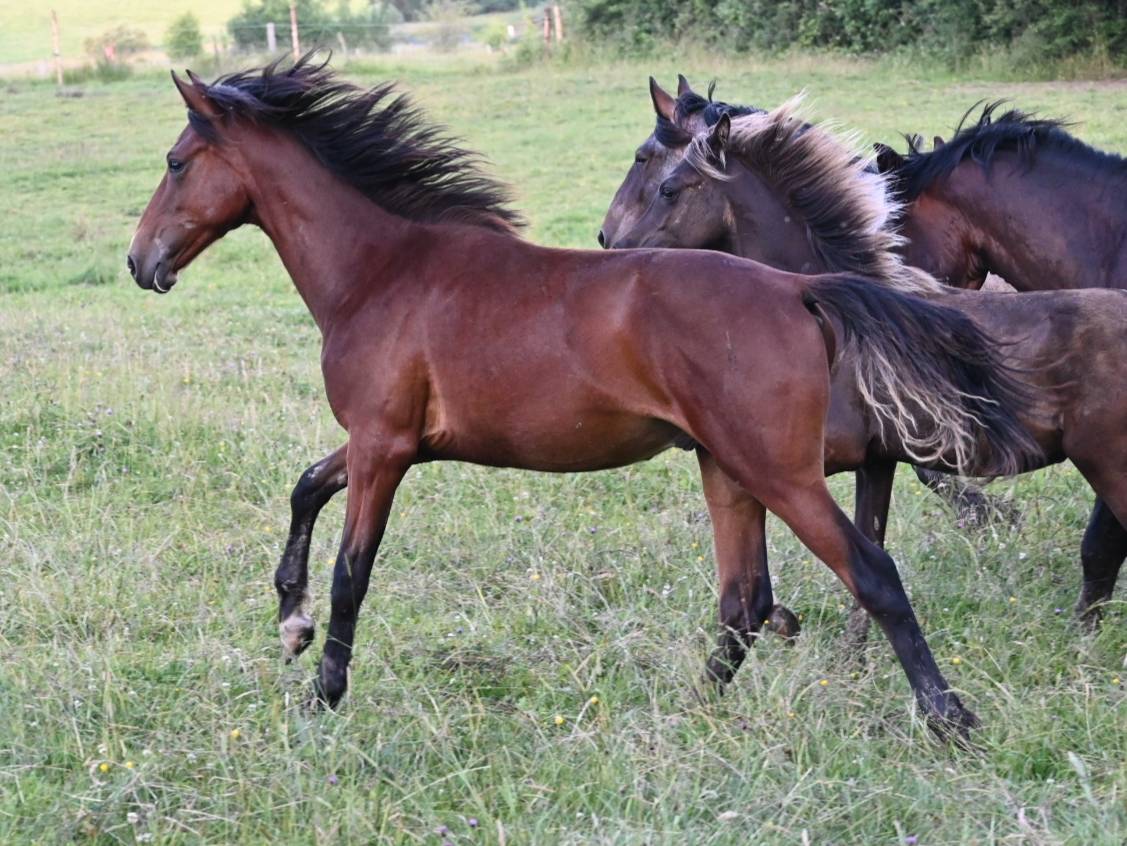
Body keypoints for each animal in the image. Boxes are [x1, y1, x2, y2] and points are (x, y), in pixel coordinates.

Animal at [127, 57, 1040, 736]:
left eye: (174, 163)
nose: (141, 263)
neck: (382, 272)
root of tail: (800, 288)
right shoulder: (383, 440)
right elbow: (306, 486)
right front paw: (291, 618)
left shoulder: (384, 447)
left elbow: (354, 569)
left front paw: (323, 693)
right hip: (728, 469)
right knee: (743, 600)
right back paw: (687, 714)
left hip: (777, 472)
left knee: (867, 573)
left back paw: (949, 718)